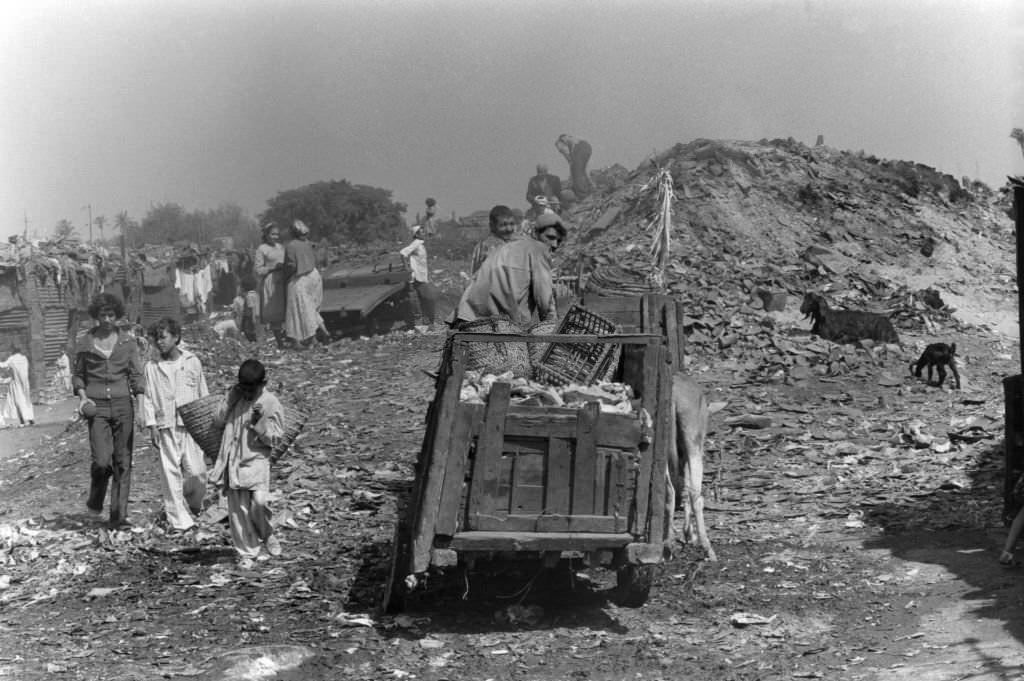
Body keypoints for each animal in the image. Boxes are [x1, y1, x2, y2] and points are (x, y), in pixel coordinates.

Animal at [667, 374, 716, 561]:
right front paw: (690, 534)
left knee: (669, 490)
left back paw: (668, 545)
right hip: (694, 445)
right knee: (696, 495)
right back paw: (709, 549)